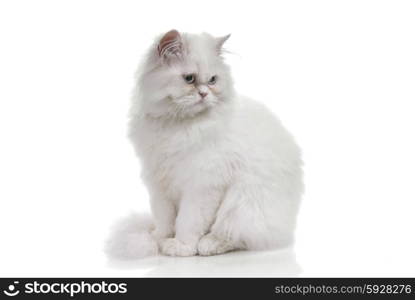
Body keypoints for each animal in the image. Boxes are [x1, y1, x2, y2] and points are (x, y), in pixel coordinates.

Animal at [109, 29, 304, 258]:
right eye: (189, 79)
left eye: (212, 80)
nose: (204, 94)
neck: (178, 125)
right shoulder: (159, 183)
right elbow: (165, 220)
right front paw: (159, 240)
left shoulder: (202, 185)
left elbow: (188, 221)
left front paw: (181, 246)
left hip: (243, 203)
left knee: (233, 235)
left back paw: (209, 244)